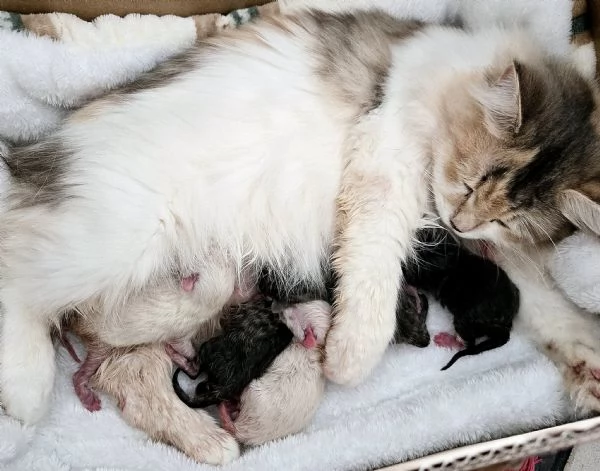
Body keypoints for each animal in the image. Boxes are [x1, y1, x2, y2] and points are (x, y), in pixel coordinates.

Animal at [1, 8, 600, 438]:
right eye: (470, 181)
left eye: (507, 219)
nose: (463, 220)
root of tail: (35, 160)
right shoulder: (382, 161)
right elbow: (373, 272)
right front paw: (351, 357)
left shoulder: (492, 252)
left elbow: (544, 301)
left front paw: (586, 362)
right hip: (118, 238)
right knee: (16, 280)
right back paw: (26, 389)